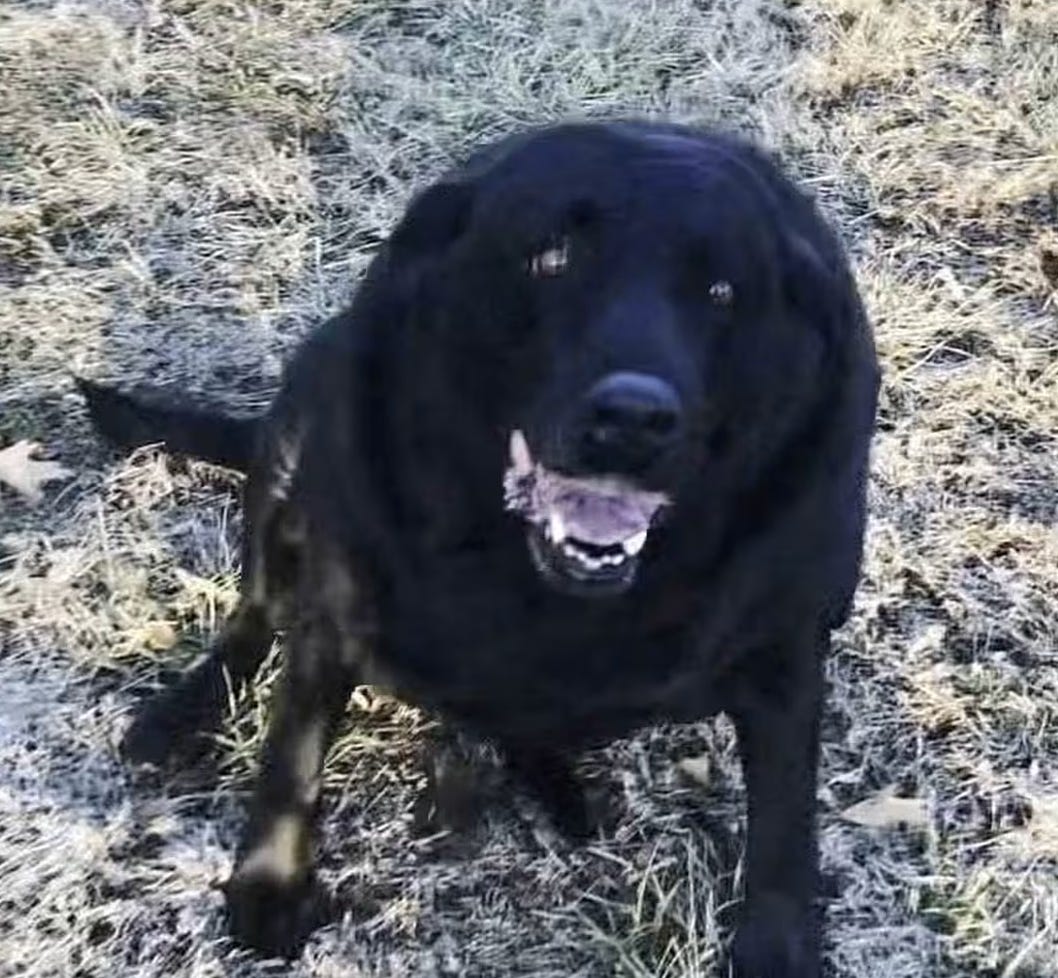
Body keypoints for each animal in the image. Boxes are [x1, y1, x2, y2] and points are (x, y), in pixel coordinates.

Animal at [80, 120, 879, 976]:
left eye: (724, 293)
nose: (634, 418)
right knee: (254, 612)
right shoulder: (335, 608)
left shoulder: (786, 653)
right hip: (291, 446)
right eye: (550, 258)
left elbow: (785, 828)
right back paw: (183, 711)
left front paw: (777, 948)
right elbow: (290, 757)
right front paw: (270, 882)